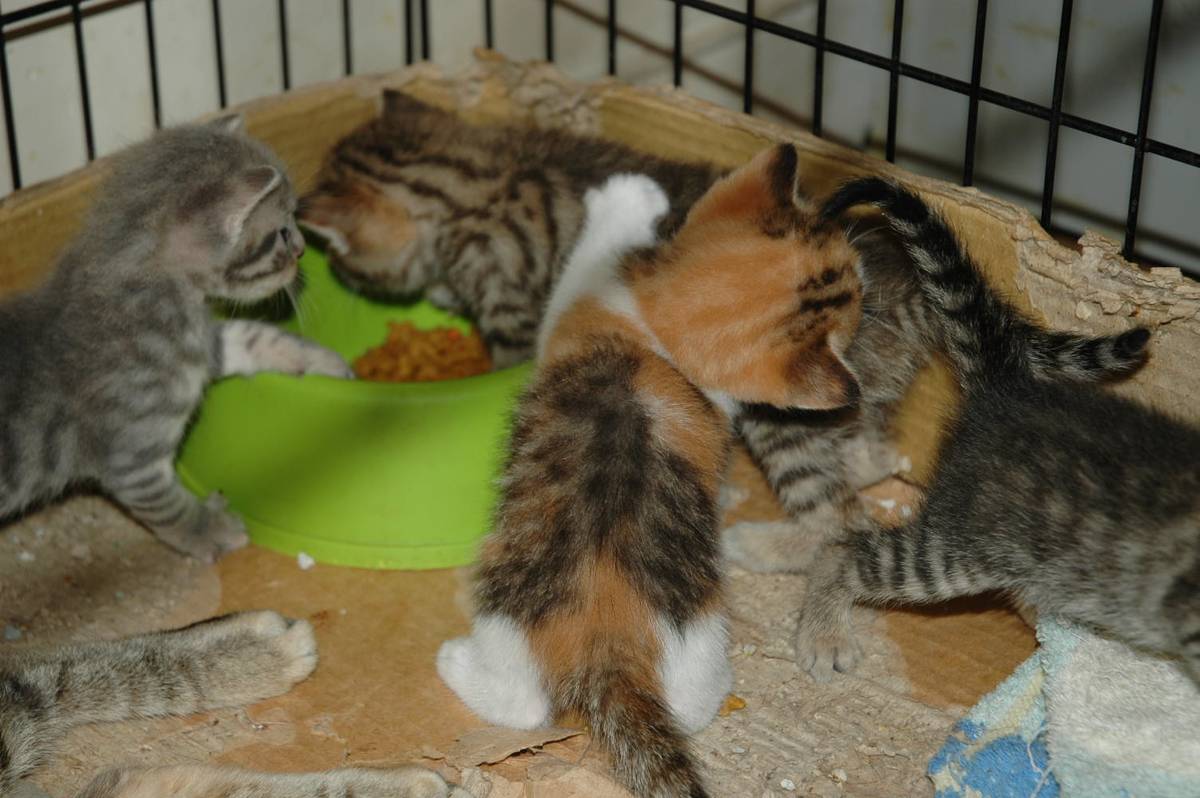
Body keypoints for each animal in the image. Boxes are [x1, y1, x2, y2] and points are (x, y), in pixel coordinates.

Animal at [0, 116, 352, 563]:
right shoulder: (131, 457)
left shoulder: (201, 346)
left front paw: (314, 357)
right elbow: (167, 506)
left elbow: (247, 334)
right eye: (282, 232)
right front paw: (208, 530)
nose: (304, 249)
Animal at [299, 91, 1150, 574]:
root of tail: (908, 275)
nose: (335, 274)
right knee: (868, 446)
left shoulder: (508, 302)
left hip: (790, 394)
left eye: (346, 261)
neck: (481, 173)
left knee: (828, 508)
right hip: (866, 378)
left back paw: (772, 546)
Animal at [437, 145, 866, 798]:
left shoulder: (572, 309)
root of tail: (608, 652)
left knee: (524, 706)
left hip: (513, 612)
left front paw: (627, 196)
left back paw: (454, 662)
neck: (653, 336)